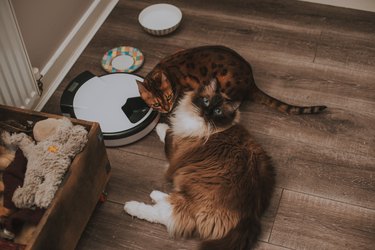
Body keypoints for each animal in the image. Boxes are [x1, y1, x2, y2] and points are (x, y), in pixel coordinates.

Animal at [125, 78, 274, 250]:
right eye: (206, 101)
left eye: (218, 111)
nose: (206, 113)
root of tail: (250, 215)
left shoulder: (176, 149)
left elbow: (168, 133)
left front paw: (159, 126)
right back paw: (154, 195)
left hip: (188, 203)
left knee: (163, 214)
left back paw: (132, 205)